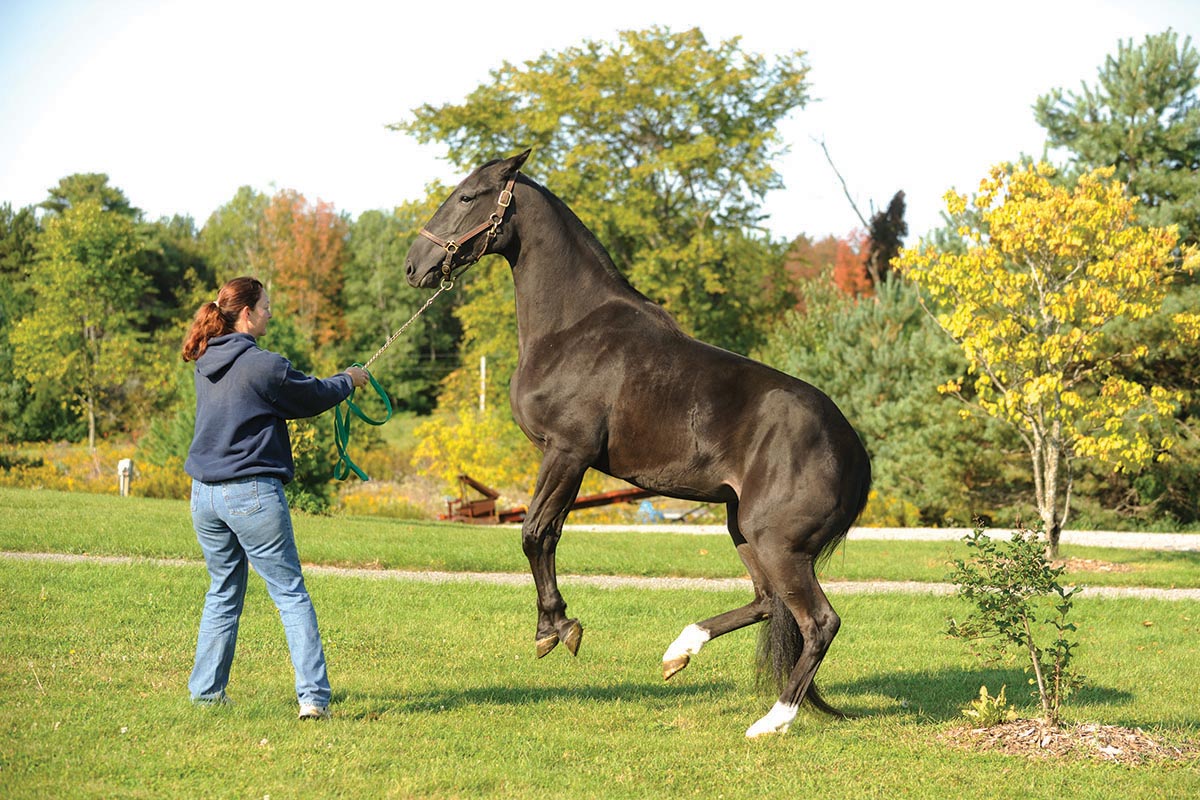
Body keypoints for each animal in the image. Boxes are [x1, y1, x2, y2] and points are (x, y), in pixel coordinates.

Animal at [405, 149, 873, 738]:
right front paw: (557, 625)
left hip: (777, 544)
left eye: (468, 196)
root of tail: (852, 448)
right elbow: (547, 534)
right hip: (744, 530)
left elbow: (535, 534)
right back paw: (679, 653)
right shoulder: (568, 460)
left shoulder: (567, 452)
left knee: (819, 622)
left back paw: (771, 721)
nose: (414, 265)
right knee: (768, 602)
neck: (572, 327)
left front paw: (555, 628)